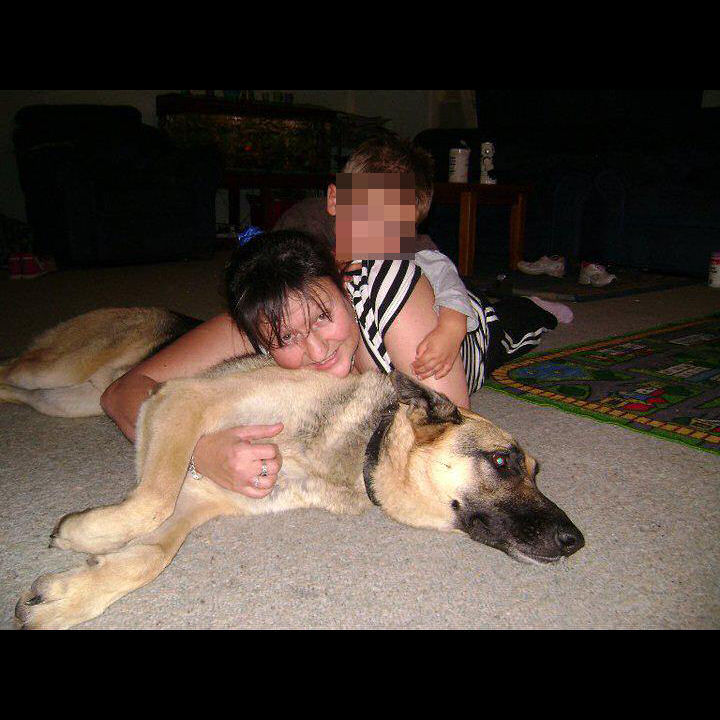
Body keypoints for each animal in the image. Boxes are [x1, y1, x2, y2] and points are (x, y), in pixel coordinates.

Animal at [6, 309, 584, 629]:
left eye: (536, 471)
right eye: (502, 461)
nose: (575, 540)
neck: (363, 444)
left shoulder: (203, 495)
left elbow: (151, 553)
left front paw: (67, 598)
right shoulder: (181, 401)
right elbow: (151, 499)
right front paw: (87, 532)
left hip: (69, 399)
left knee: (15, 391)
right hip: (59, 369)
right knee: (10, 368)